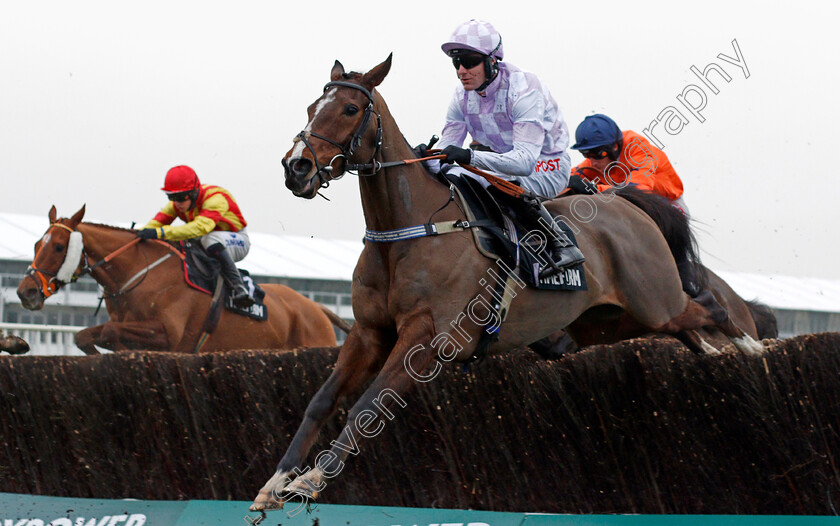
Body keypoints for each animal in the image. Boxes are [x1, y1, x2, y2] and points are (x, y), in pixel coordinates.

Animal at [18, 206, 348, 354]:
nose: (26, 292)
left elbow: (110, 331)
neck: (141, 273)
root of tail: (316, 309)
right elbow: (83, 336)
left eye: (58, 246)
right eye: (36, 244)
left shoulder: (169, 334)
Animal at [248, 54, 760, 512]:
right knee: (686, 326)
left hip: (653, 299)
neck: (409, 230)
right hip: (610, 322)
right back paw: (715, 351)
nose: (296, 167)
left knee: (709, 305)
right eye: (312, 107)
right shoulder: (369, 332)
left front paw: (312, 479)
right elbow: (321, 400)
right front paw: (274, 484)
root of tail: (628, 204)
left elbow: (368, 406)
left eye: (350, 109)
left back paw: (751, 348)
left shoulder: (427, 340)